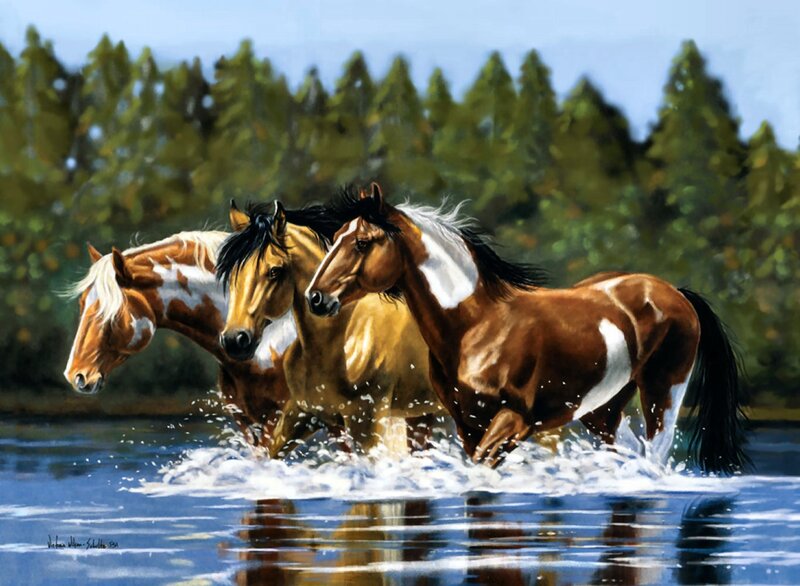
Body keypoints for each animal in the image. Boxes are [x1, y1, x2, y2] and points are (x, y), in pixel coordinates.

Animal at [215, 201, 444, 457]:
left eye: (274, 271)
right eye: (232, 275)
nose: (234, 340)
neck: (341, 340)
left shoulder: (366, 422)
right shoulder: (302, 413)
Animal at [305, 184, 749, 473]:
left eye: (362, 242)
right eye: (338, 236)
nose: (316, 297)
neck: (476, 326)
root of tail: (674, 292)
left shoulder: (513, 422)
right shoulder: (468, 424)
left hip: (663, 394)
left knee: (654, 453)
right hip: (602, 409)